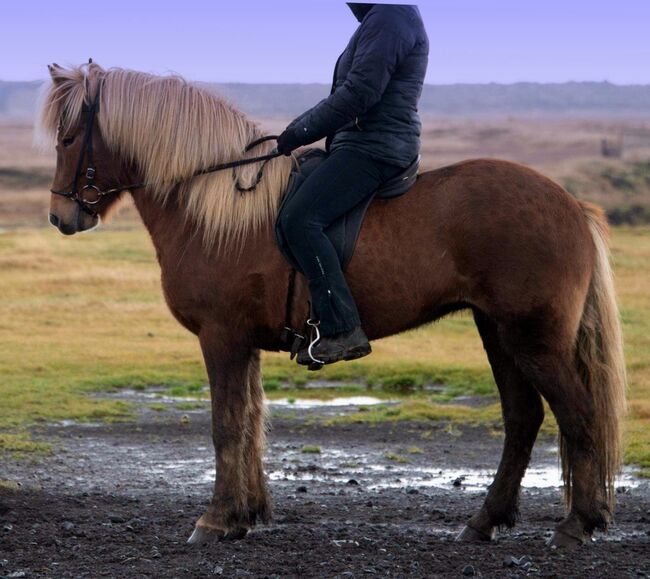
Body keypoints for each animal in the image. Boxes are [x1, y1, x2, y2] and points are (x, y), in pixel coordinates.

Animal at [38, 62, 624, 548]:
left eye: (69, 138)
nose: (62, 218)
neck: (216, 208)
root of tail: (572, 204)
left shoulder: (221, 336)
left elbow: (226, 424)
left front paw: (216, 520)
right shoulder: (243, 342)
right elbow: (250, 421)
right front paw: (247, 515)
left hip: (531, 338)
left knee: (578, 414)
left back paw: (578, 523)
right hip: (497, 333)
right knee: (523, 418)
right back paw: (486, 521)